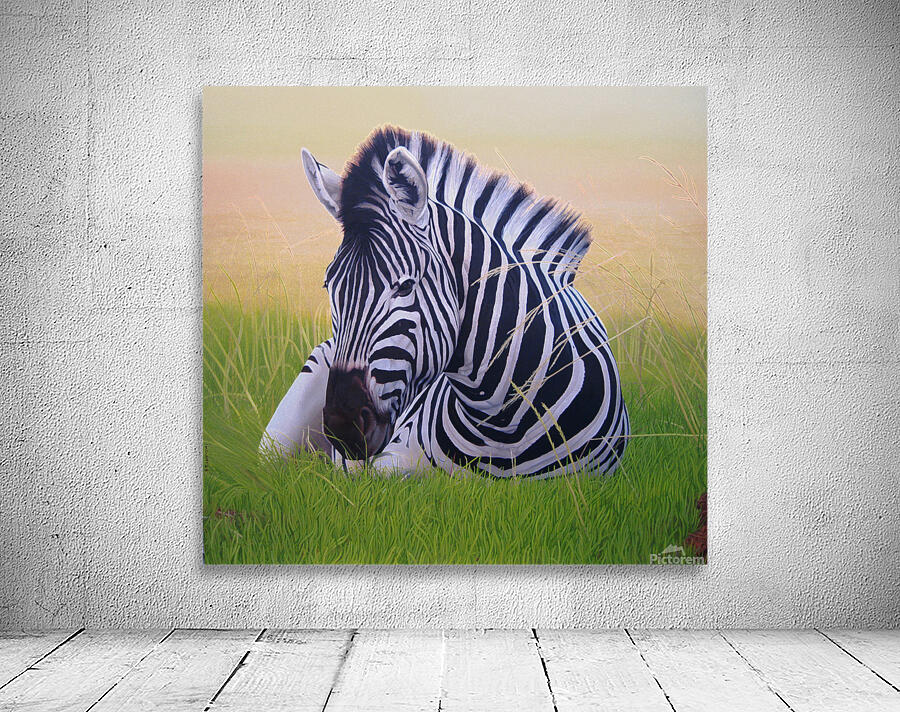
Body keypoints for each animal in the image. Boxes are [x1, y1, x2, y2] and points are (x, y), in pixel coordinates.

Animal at [261, 126, 629, 478]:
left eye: (405, 287)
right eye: (330, 287)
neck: (504, 423)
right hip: (278, 437)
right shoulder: (390, 461)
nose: (342, 428)